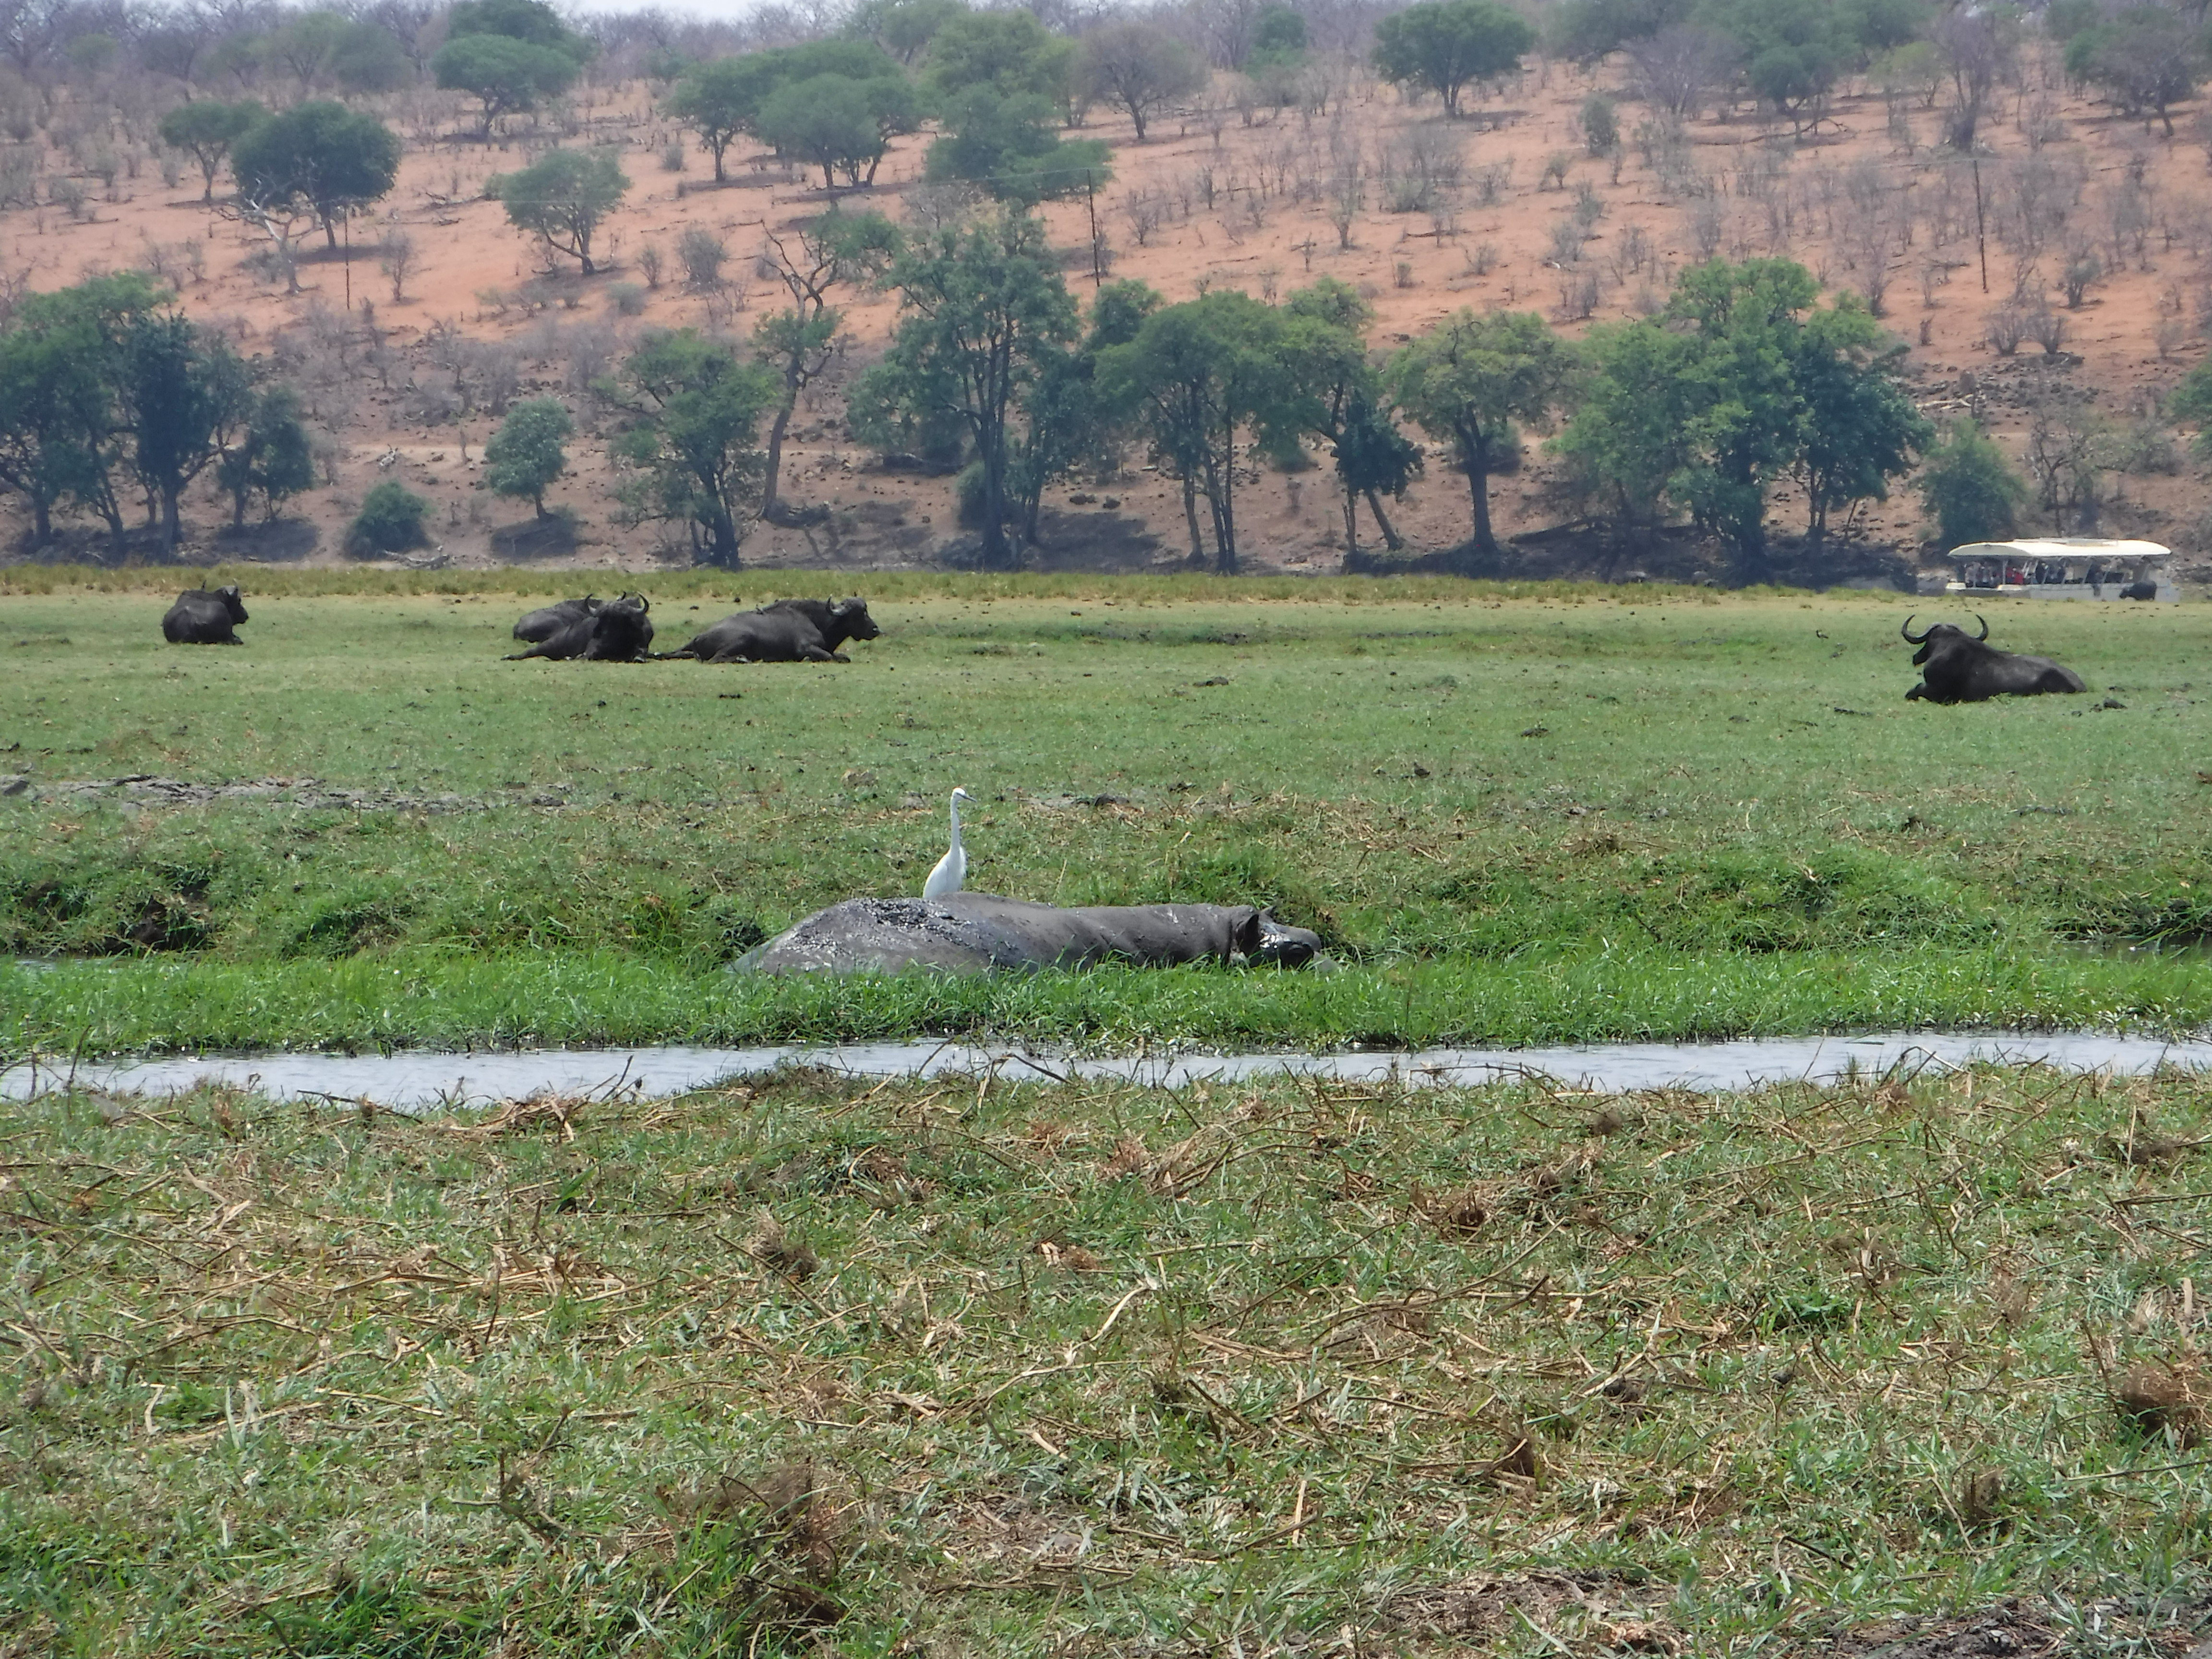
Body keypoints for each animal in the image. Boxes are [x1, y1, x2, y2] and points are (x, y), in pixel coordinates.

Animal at [664, 597, 880, 664]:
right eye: (860, 613)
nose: (876, 630)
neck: (817, 620)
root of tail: (698, 637)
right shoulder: (806, 647)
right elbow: (829, 657)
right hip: (743, 637)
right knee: (716, 659)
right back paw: (743, 659)